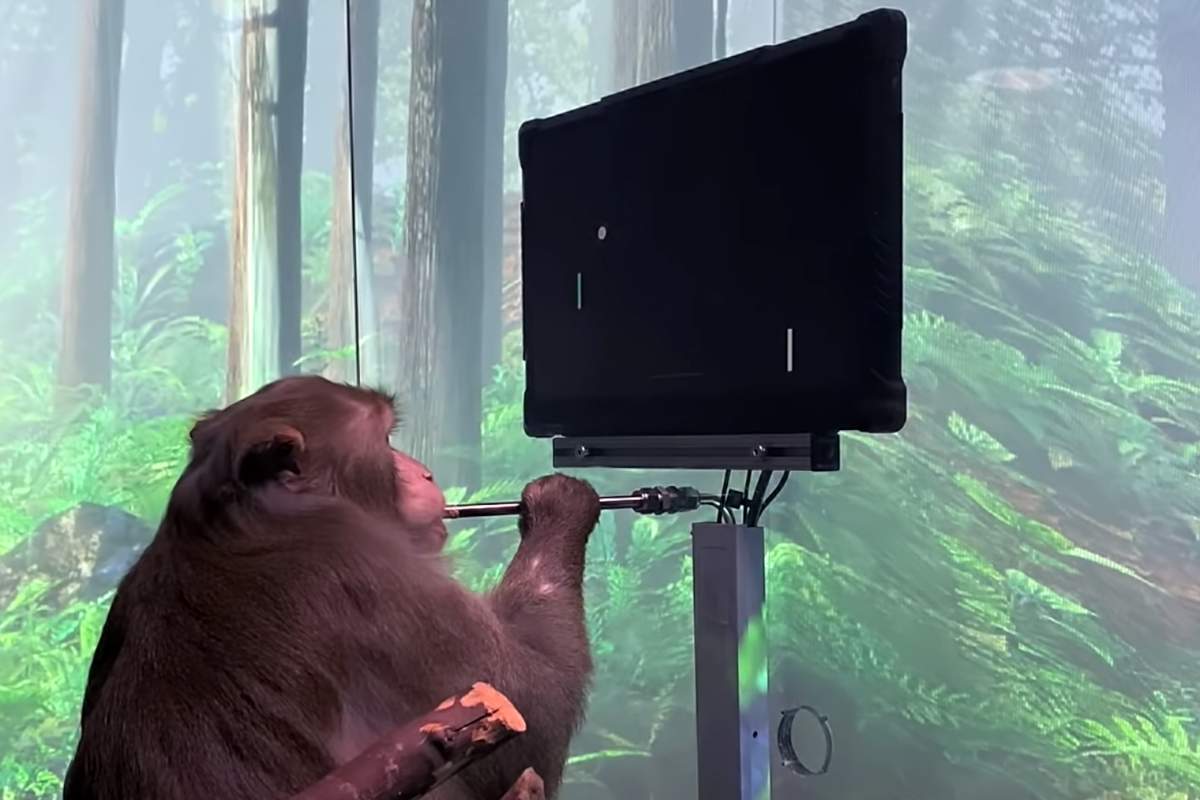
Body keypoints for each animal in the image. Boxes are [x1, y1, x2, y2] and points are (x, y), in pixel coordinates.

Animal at [61, 375, 600, 800]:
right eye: (386, 440)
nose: (425, 472)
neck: (246, 517)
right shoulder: (370, 572)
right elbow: (532, 713)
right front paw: (559, 505)